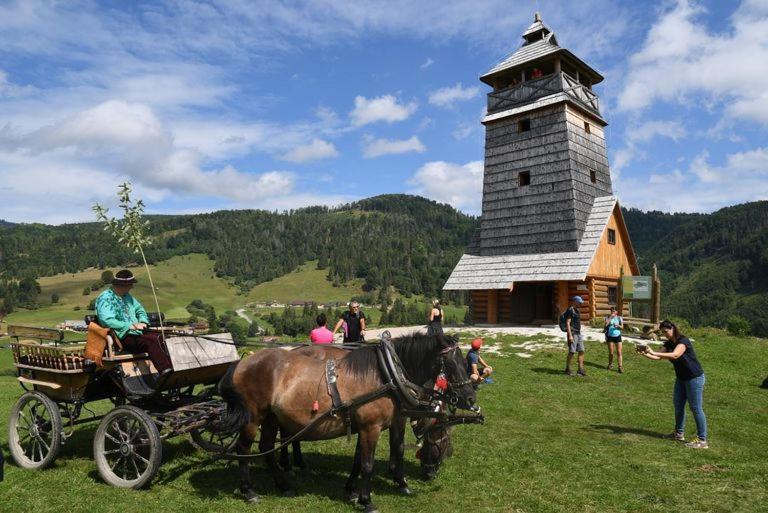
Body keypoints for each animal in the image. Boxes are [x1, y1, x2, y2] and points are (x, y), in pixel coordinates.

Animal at [214, 332, 474, 512]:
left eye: (464, 362)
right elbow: (368, 464)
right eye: (451, 364)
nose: (470, 398)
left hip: (270, 417)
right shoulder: (371, 427)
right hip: (252, 417)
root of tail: (241, 363)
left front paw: (360, 489)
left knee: (267, 448)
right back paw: (249, 491)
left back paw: (283, 485)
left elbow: (371, 457)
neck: (386, 375)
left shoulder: (372, 425)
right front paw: (367, 500)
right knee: (244, 449)